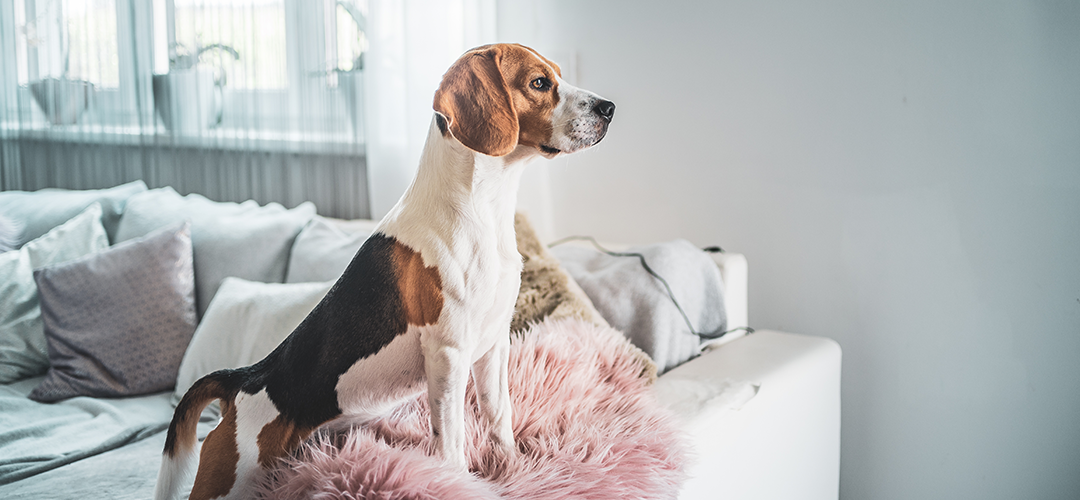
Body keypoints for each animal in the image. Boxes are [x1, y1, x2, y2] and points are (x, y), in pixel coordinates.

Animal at [157, 44, 622, 500]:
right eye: (539, 83)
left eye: (558, 73)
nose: (610, 107)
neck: (482, 210)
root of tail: (246, 377)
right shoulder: (448, 354)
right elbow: (451, 442)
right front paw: (460, 483)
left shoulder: (493, 345)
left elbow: (499, 416)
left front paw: (511, 469)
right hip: (227, 475)